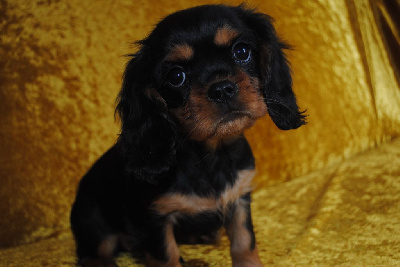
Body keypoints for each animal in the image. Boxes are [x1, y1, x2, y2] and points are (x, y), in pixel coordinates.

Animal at [69, 4, 306, 267]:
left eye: (242, 52)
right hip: (93, 221)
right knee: (93, 250)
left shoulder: (239, 199)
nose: (222, 89)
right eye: (176, 76)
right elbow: (167, 256)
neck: (211, 154)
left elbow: (245, 242)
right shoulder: (154, 218)